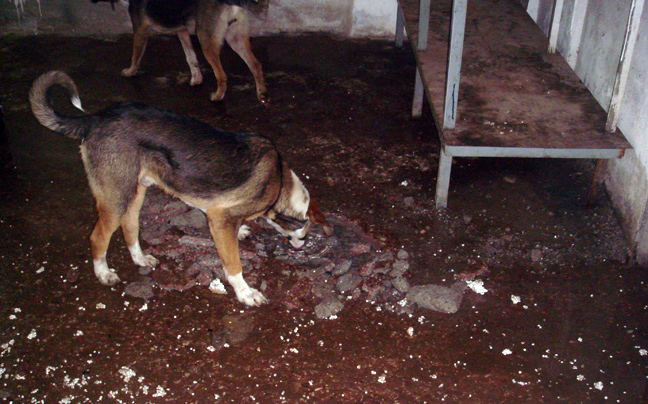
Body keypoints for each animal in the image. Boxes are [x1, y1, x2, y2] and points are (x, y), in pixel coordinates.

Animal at [29, 72, 334, 306]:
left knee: (130, 228)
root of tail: (94, 118)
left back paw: (140, 258)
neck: (279, 180)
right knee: (97, 237)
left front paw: (243, 230)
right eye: (305, 230)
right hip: (116, 198)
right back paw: (103, 273)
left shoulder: (210, 208)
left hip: (136, 192)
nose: (302, 245)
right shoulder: (220, 219)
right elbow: (233, 265)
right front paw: (246, 293)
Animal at [92, 0, 270, 102]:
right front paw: (196, 79)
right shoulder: (182, 31)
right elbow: (191, 59)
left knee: (222, 75)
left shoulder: (140, 31)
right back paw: (261, 93)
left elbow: (135, 57)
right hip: (235, 39)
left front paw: (130, 72)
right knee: (256, 65)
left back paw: (218, 96)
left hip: (205, 39)